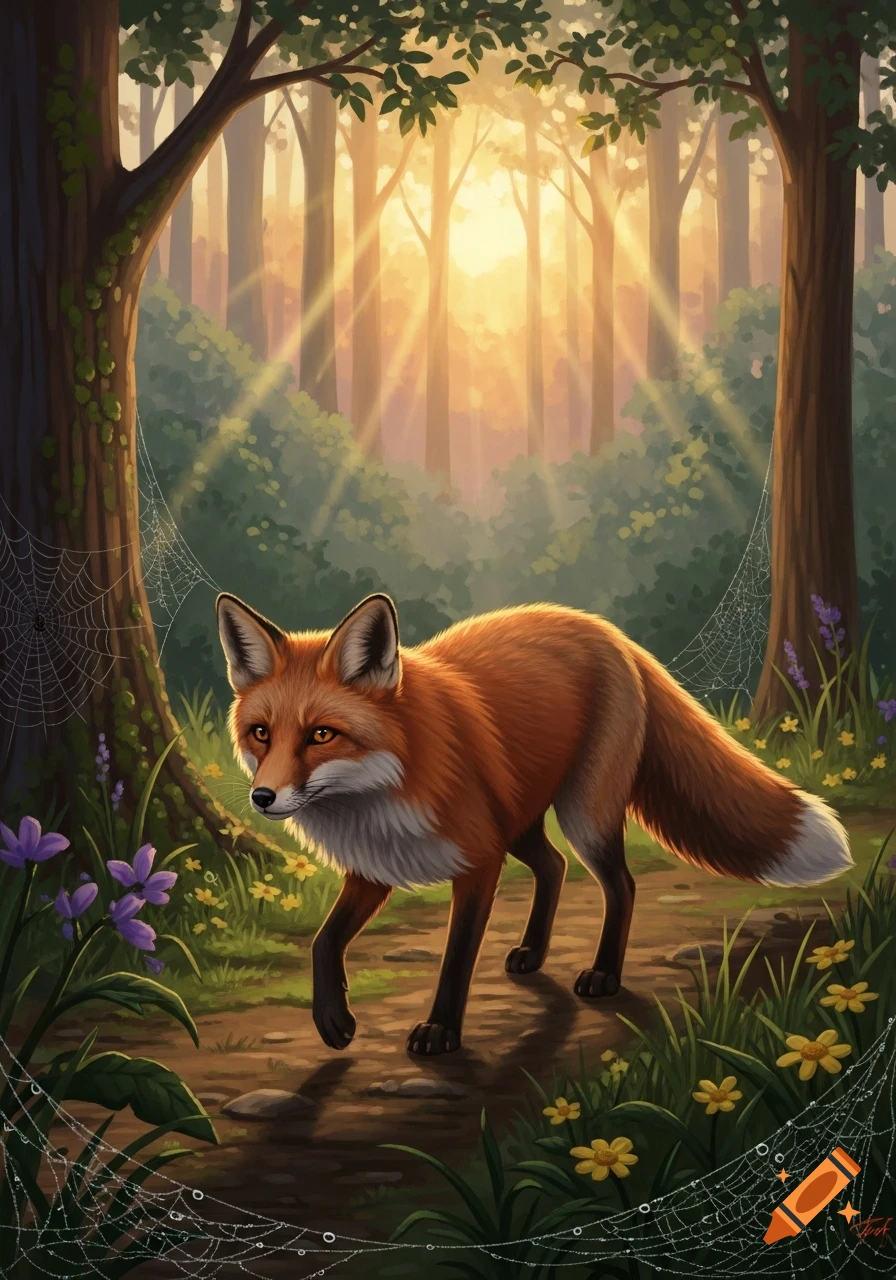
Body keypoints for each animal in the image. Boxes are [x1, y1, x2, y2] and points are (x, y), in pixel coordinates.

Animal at [215, 591, 853, 1057]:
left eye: (322, 734)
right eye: (261, 733)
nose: (263, 797)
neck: (382, 788)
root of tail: (605, 630)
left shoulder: (478, 861)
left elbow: (455, 958)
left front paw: (441, 1031)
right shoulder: (376, 867)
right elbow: (324, 941)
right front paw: (333, 1020)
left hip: (582, 815)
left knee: (620, 885)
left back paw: (603, 973)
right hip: (520, 820)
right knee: (555, 865)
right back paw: (533, 952)